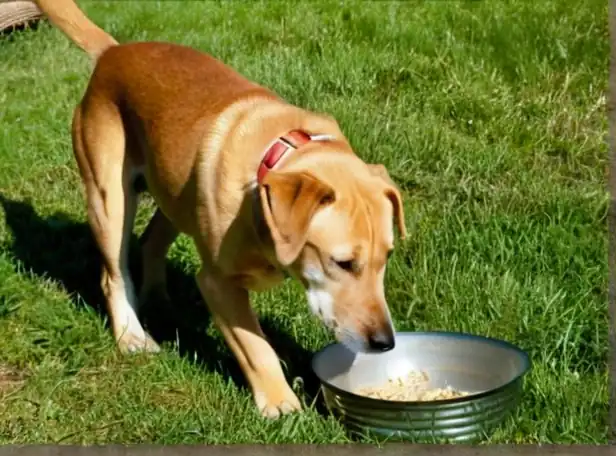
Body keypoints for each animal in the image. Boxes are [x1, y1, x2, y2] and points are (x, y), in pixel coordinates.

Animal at [35, 0, 410, 420]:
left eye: (387, 258)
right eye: (342, 263)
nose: (384, 342)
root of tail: (112, 52)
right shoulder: (218, 282)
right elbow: (257, 347)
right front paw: (280, 404)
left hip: (176, 192)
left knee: (151, 241)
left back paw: (160, 300)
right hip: (109, 197)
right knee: (113, 274)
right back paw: (132, 335)